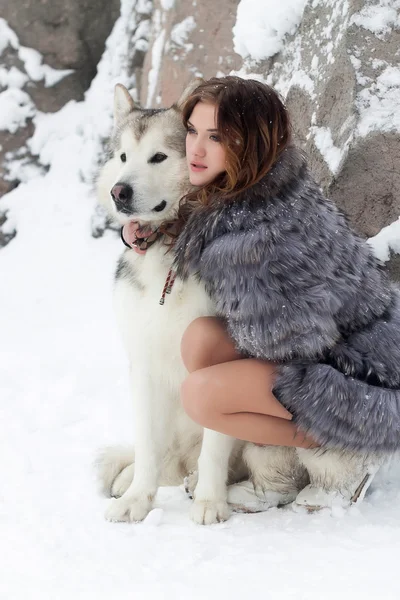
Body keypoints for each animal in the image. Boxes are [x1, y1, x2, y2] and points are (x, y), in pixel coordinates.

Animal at [96, 84, 382, 524]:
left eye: (158, 156)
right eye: (123, 157)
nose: (119, 192)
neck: (169, 251)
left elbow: (215, 447)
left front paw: (209, 504)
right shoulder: (144, 364)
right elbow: (146, 444)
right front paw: (138, 500)